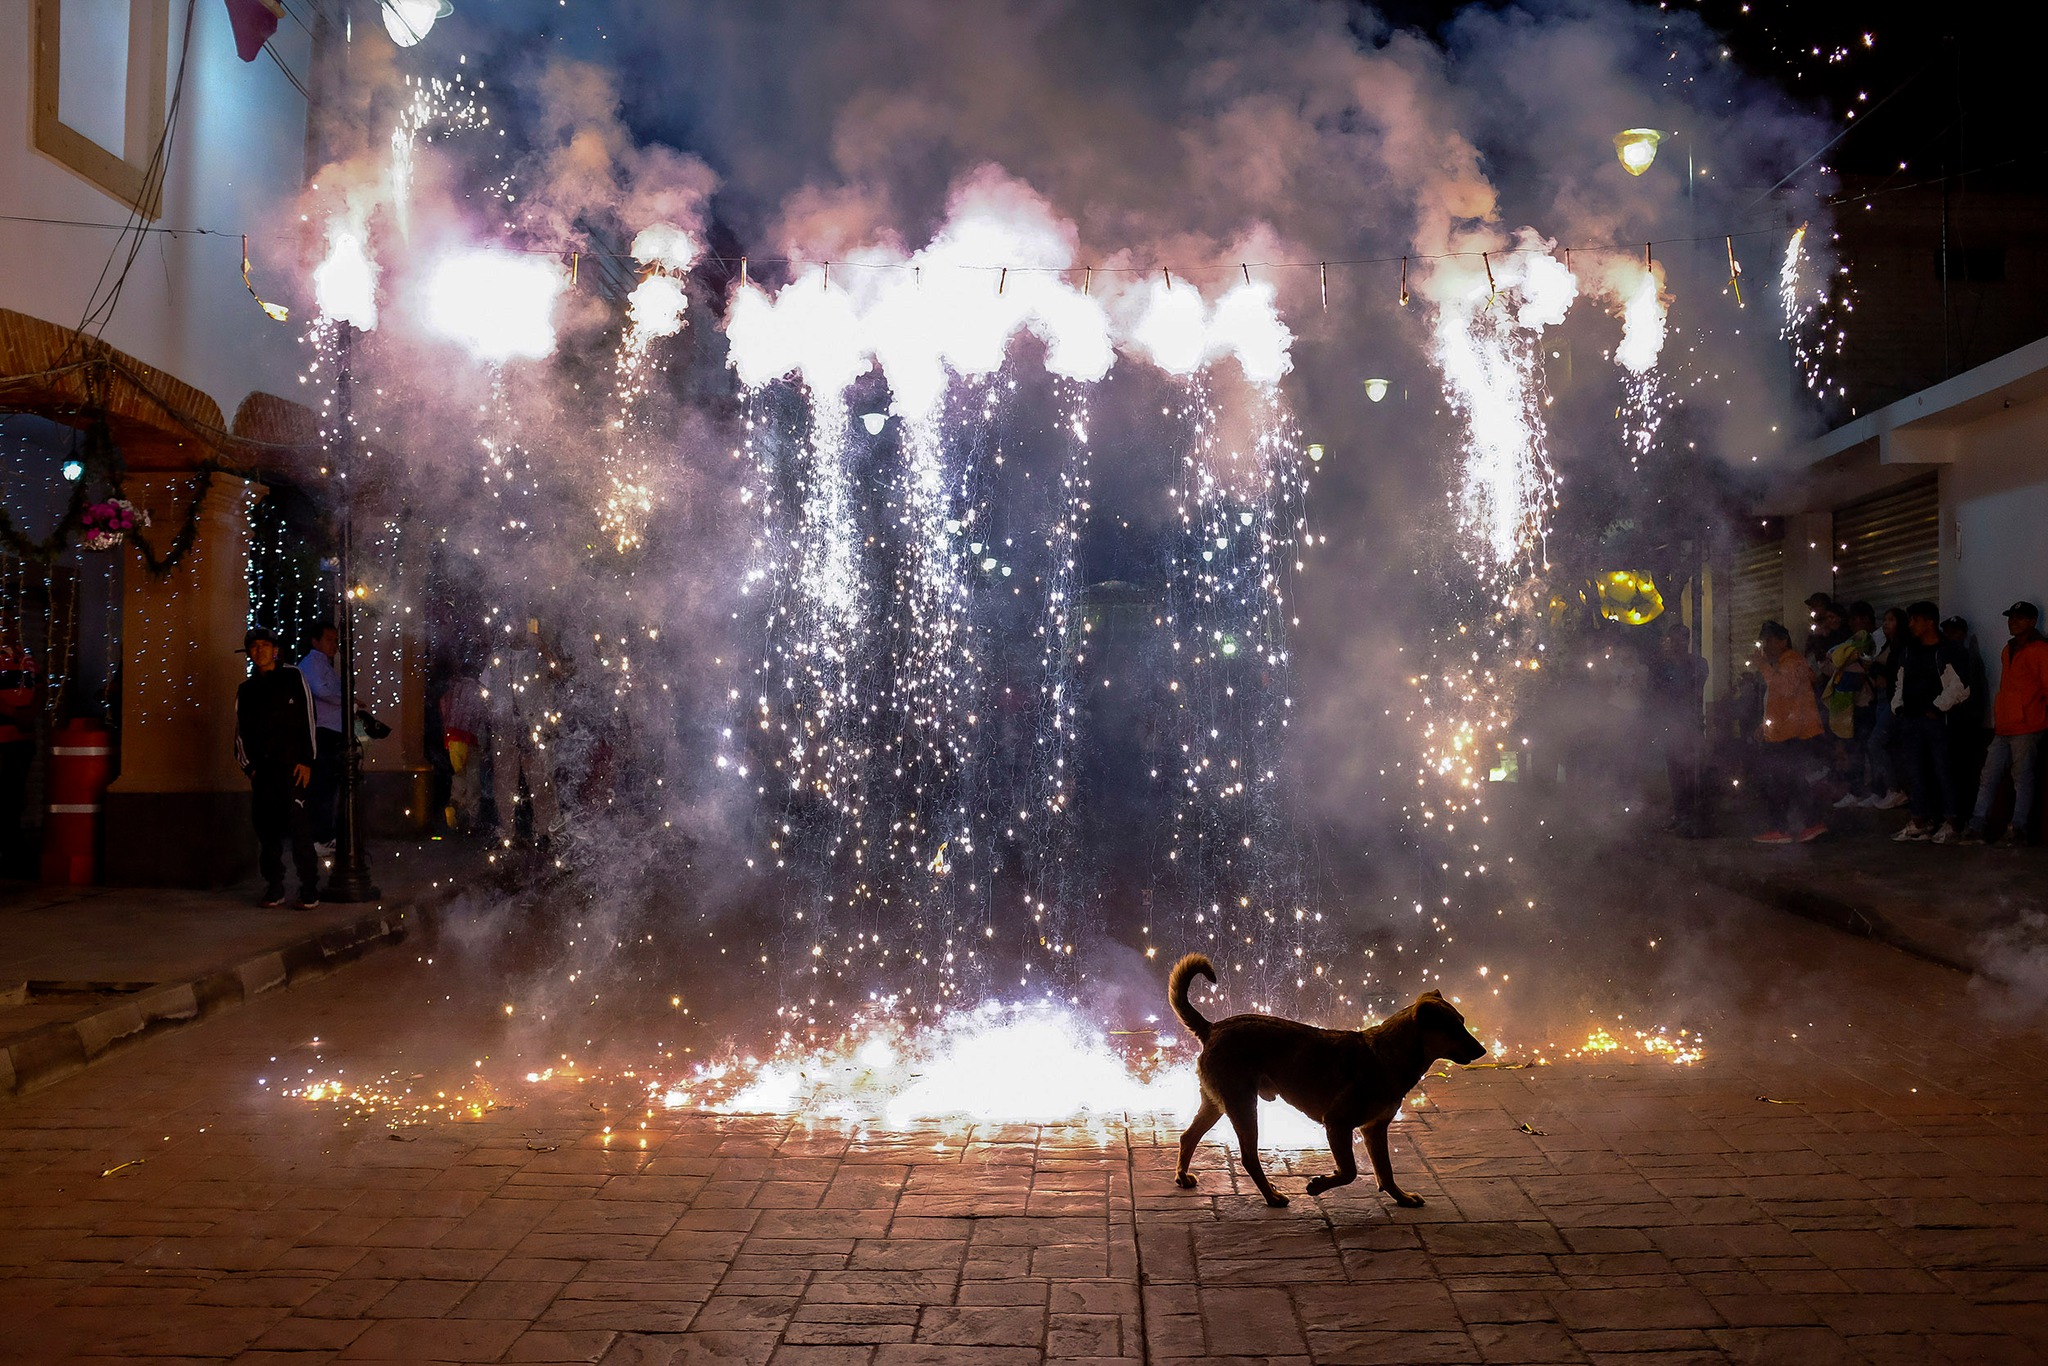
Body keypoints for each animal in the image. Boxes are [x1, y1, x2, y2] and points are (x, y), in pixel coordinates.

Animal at [1171, 950, 1490, 1204]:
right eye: (1453, 1028)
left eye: (1462, 1022)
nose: (1483, 1050)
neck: (1385, 1054)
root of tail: (1211, 1027)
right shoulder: (1338, 1123)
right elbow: (1349, 1171)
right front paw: (1318, 1185)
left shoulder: (1375, 1129)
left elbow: (1385, 1172)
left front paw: (1402, 1198)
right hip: (1243, 1104)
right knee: (1248, 1157)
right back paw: (1272, 1196)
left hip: (1216, 1103)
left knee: (1188, 1137)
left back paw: (1184, 1176)